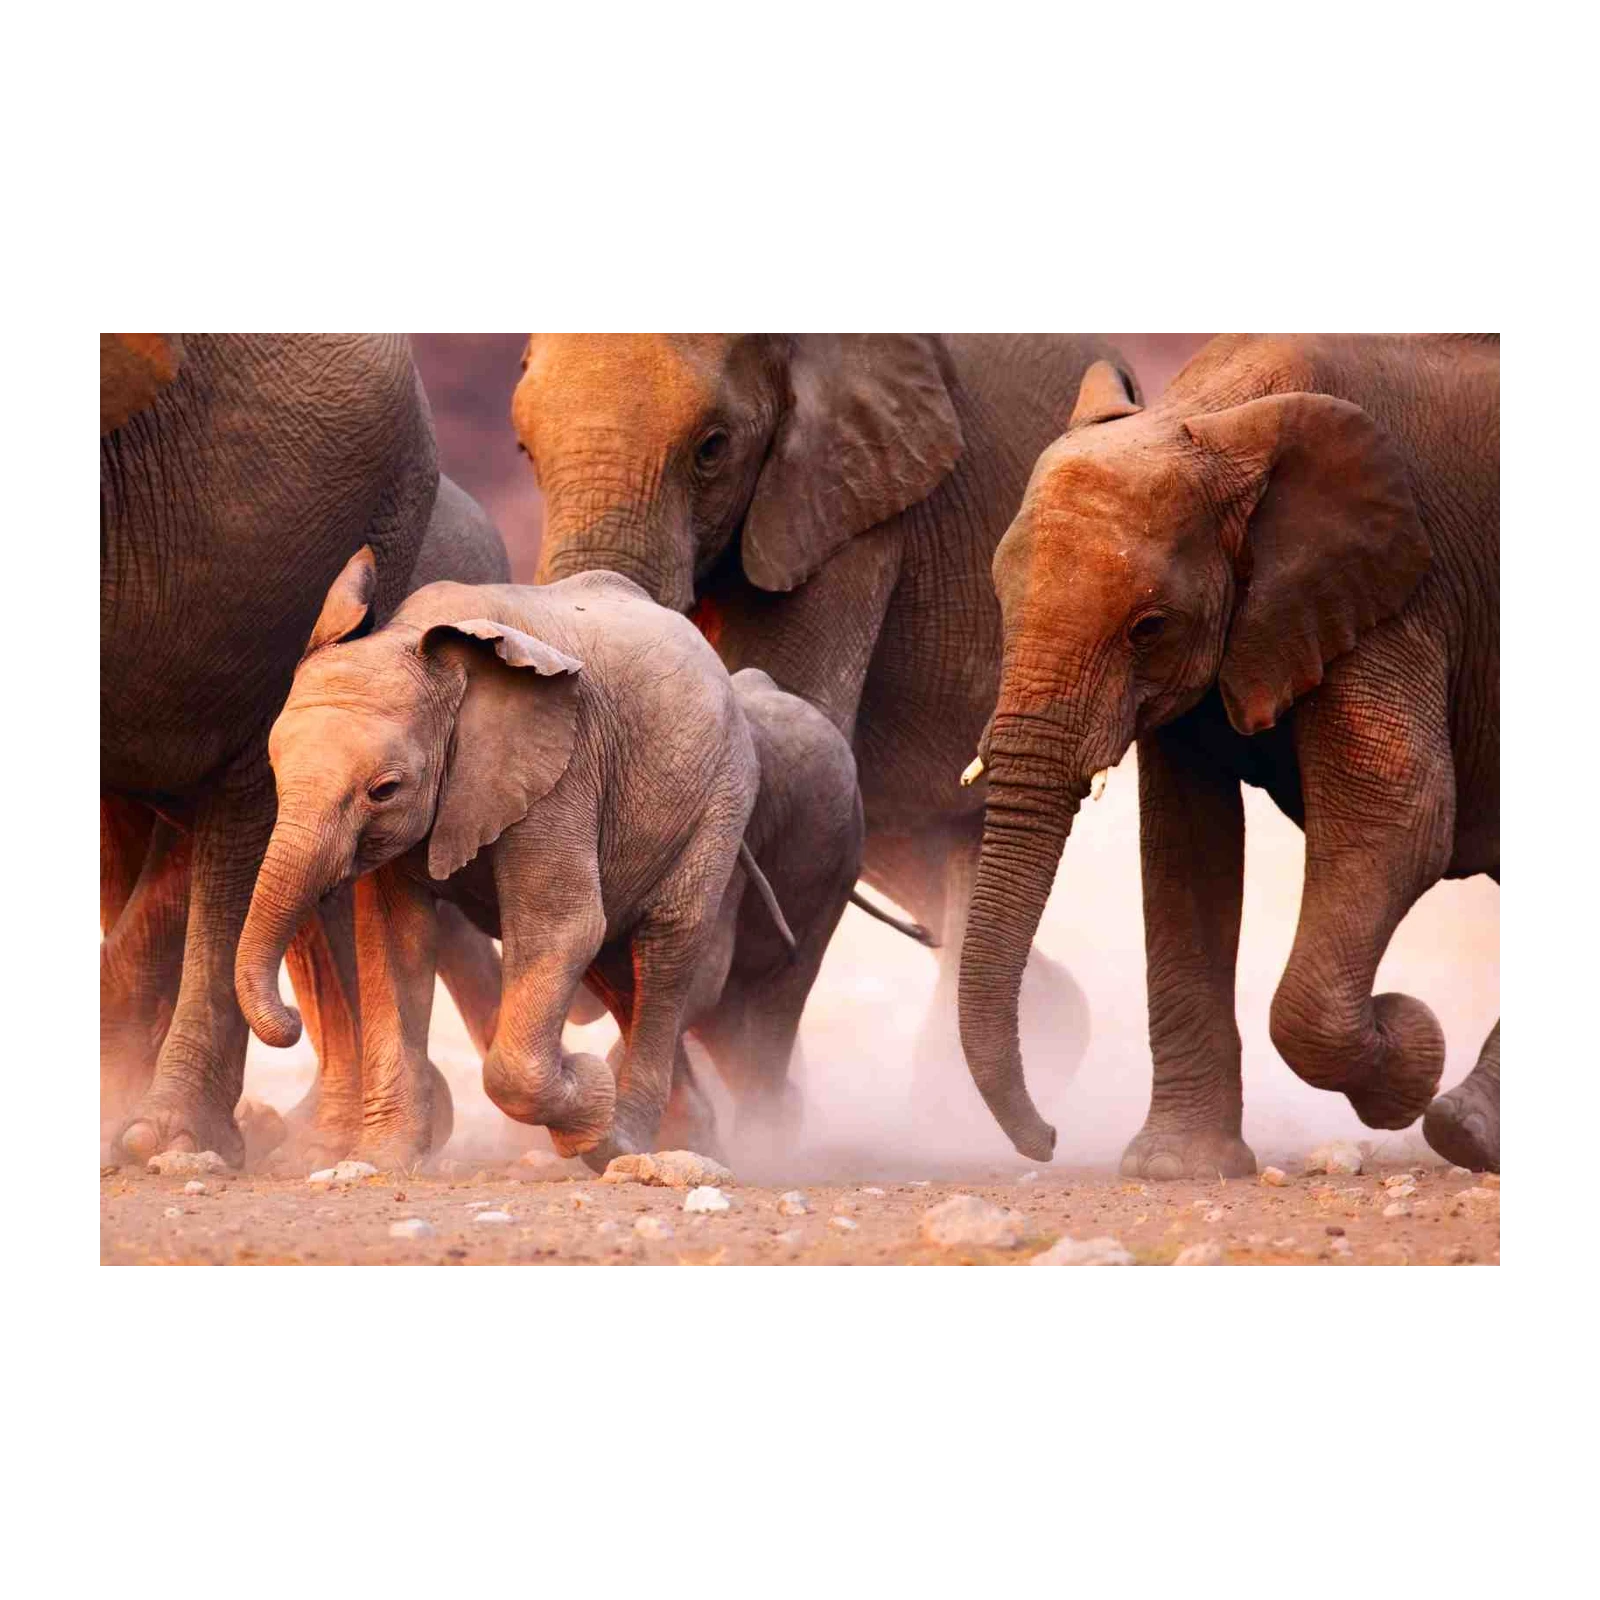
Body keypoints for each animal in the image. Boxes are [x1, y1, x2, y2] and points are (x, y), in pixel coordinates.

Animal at [235, 561, 800, 1169]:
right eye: (275, 768)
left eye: (384, 790)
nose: (290, 1021)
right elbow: (395, 940)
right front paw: (379, 1163)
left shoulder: (562, 771)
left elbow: (561, 929)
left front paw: (588, 1094)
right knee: (616, 966)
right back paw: (685, 1140)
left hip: (721, 798)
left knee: (666, 950)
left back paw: (620, 1141)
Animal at [956, 332, 1502, 1175]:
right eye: (998, 601)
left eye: (1148, 627)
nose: (1048, 1141)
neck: (1220, 415)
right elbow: (1185, 848)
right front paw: (1176, 1170)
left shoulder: (1399, 591)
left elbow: (1400, 816)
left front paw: (1410, 1052)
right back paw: (1471, 1129)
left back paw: (1461, 1128)